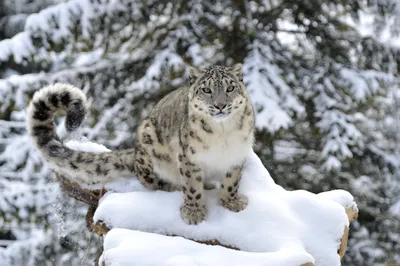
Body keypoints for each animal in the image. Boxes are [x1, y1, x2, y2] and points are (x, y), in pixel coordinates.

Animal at [28, 64, 255, 224]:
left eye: (230, 87)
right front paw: (194, 212)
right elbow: (192, 187)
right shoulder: (189, 158)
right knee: (152, 182)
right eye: (207, 90)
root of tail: (135, 153)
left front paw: (232, 202)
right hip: (148, 141)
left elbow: (232, 181)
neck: (222, 133)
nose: (220, 105)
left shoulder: (237, 154)